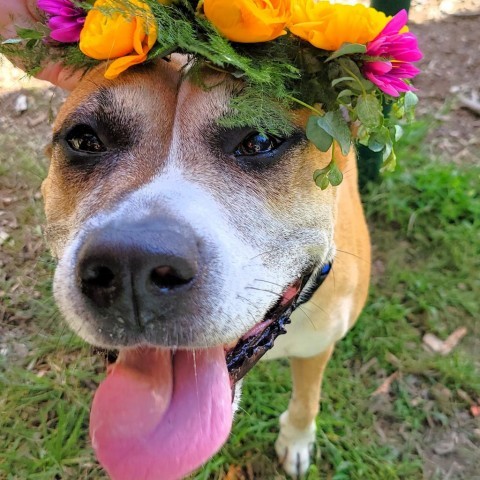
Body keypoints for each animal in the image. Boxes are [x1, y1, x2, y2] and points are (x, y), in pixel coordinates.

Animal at [42, 58, 372, 478]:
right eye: (86, 140)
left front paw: (296, 441)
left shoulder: (318, 346)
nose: (133, 265)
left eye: (259, 141)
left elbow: (307, 400)